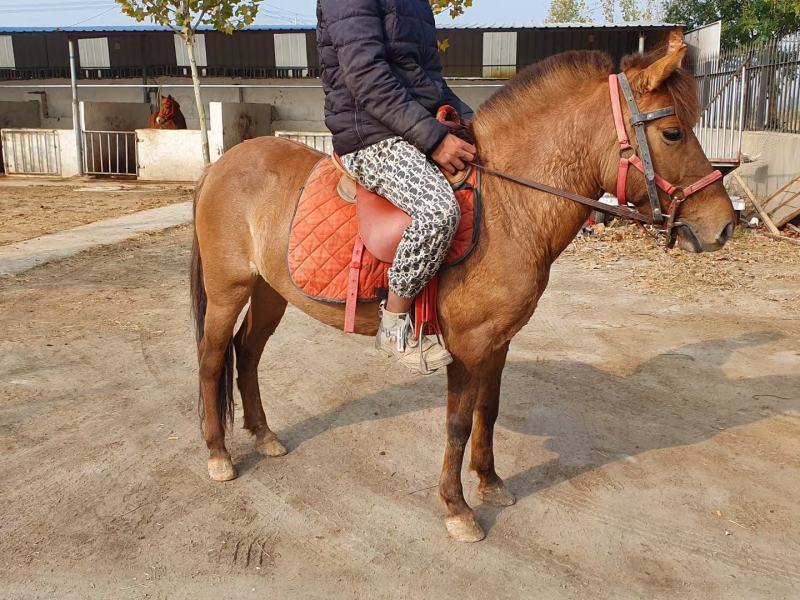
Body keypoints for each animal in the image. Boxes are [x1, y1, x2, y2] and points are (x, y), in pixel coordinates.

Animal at [189, 42, 736, 543]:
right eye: (672, 132)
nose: (726, 225)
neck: (509, 206)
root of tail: (221, 164)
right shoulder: (468, 346)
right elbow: (457, 423)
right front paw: (457, 508)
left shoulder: (498, 341)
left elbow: (486, 413)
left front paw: (490, 482)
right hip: (228, 290)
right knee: (213, 358)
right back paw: (217, 455)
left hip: (270, 292)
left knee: (247, 353)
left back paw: (263, 436)